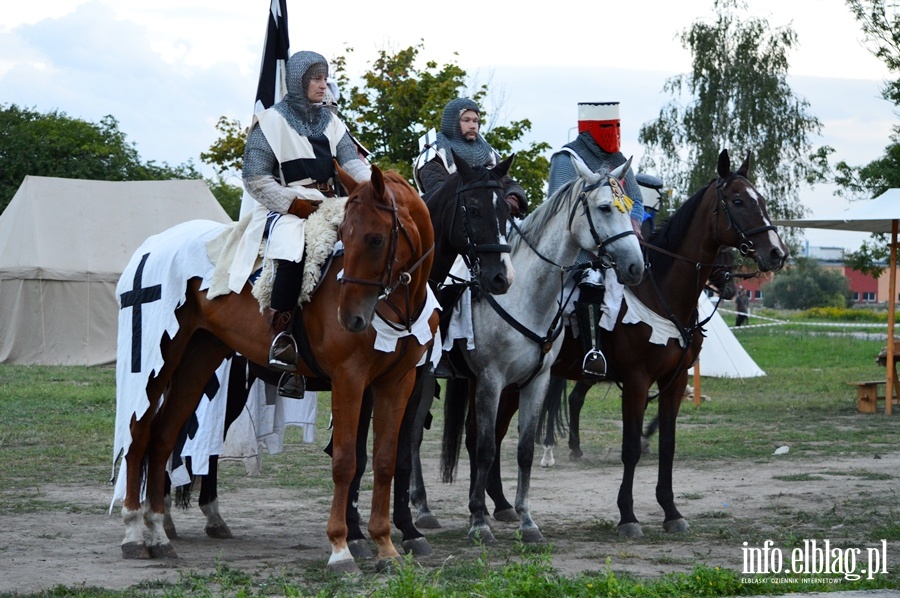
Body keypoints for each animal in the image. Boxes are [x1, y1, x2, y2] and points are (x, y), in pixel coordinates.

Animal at [114, 164, 438, 576]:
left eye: (376, 238)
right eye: (344, 236)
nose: (350, 319)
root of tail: (153, 245)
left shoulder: (398, 383)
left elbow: (385, 461)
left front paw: (386, 547)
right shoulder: (350, 380)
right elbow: (346, 461)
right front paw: (342, 547)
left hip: (199, 357)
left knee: (163, 438)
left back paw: (158, 534)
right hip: (159, 361)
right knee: (139, 435)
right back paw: (134, 534)